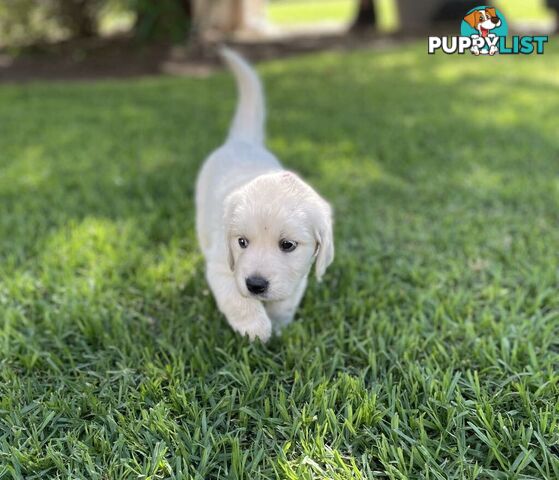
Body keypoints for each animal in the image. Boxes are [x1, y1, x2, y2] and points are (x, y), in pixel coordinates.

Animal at [198, 47, 332, 342]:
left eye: (288, 245)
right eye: (242, 242)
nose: (255, 284)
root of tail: (243, 140)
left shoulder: (297, 276)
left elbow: (285, 301)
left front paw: (280, 326)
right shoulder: (221, 263)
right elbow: (237, 298)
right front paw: (256, 328)